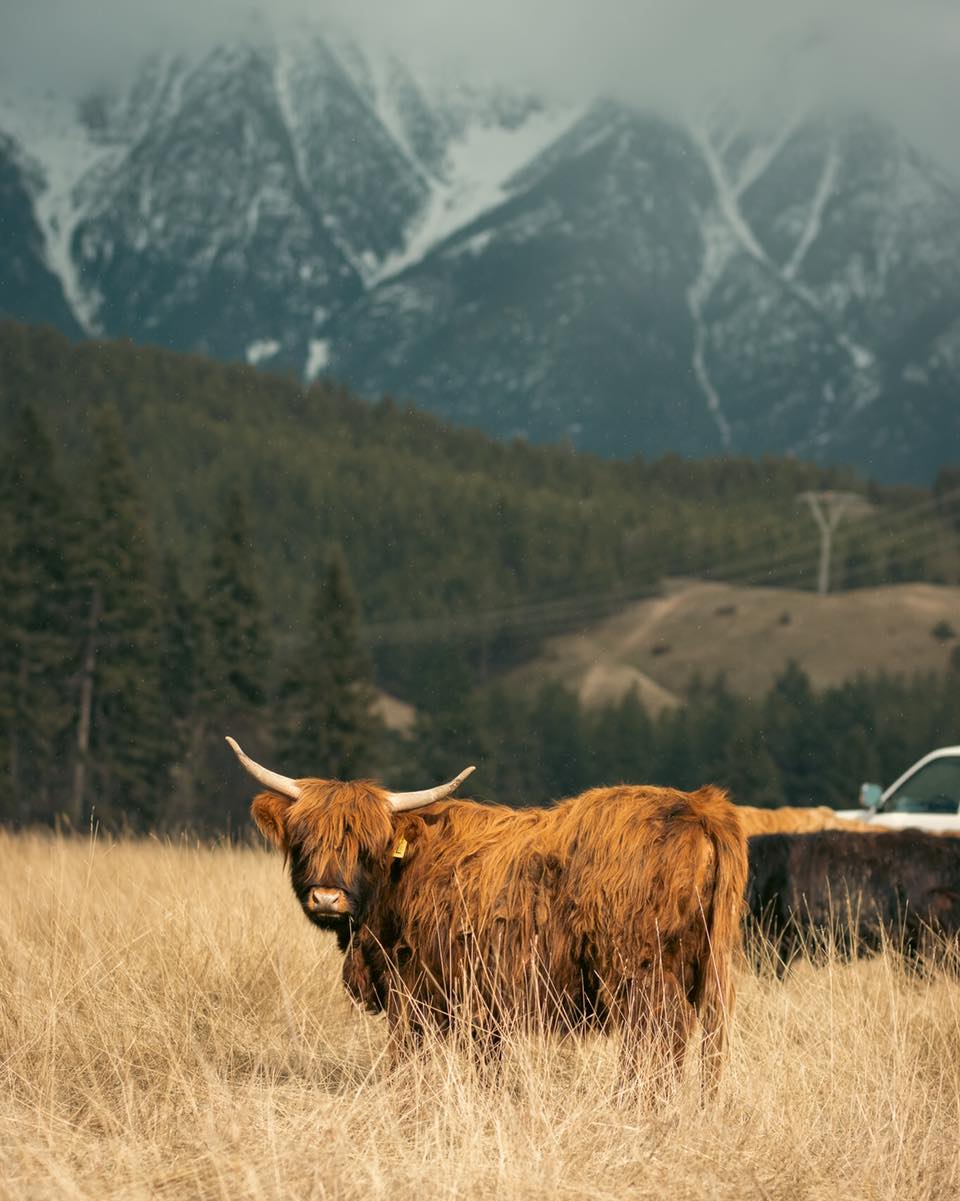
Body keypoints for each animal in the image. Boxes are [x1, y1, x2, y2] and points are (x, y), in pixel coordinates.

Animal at [228, 737, 748, 1092]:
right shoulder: (482, 1002)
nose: (326, 898)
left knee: (656, 1043)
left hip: (640, 975)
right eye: (304, 840)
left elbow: (407, 1056)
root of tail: (698, 805)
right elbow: (488, 1065)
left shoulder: (415, 989)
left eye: (366, 846)